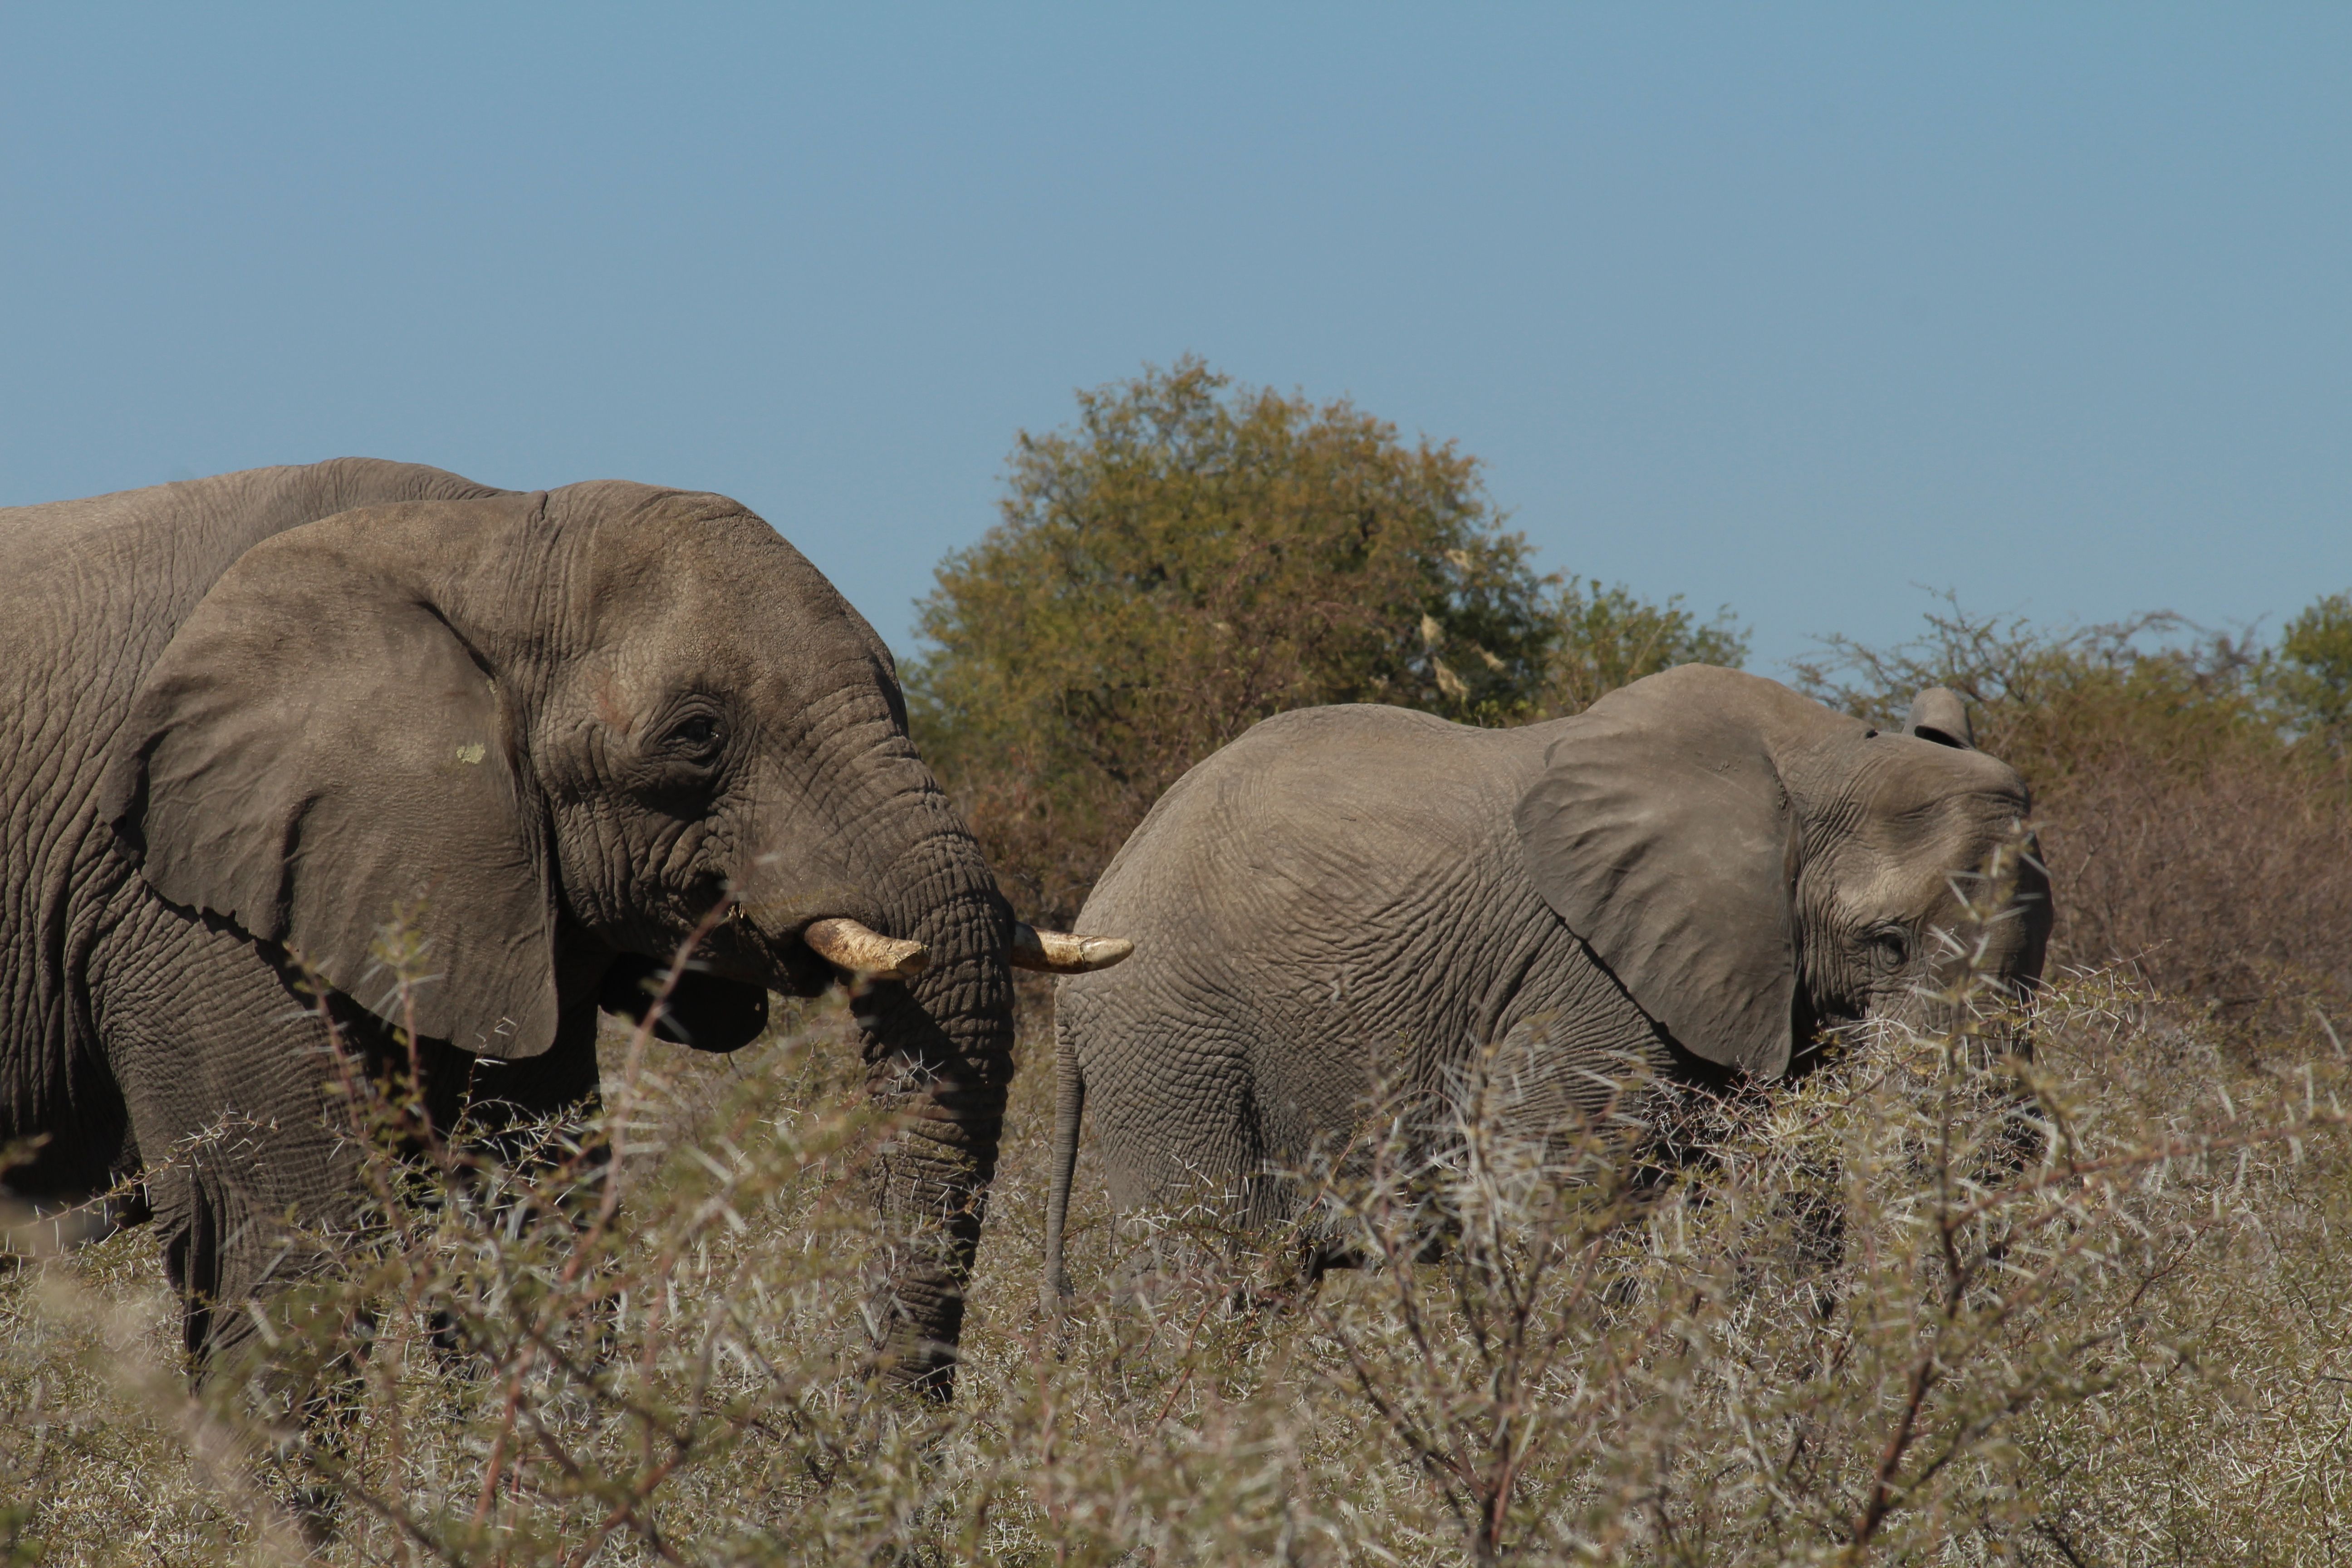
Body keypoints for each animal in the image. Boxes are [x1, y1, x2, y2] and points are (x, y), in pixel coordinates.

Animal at [1042, 665, 2051, 1297]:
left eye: (2039, 963)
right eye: (1887, 944)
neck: (1827, 756)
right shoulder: (1589, 977)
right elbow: (1558, 1202)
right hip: (1174, 1046)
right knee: (1205, 1276)